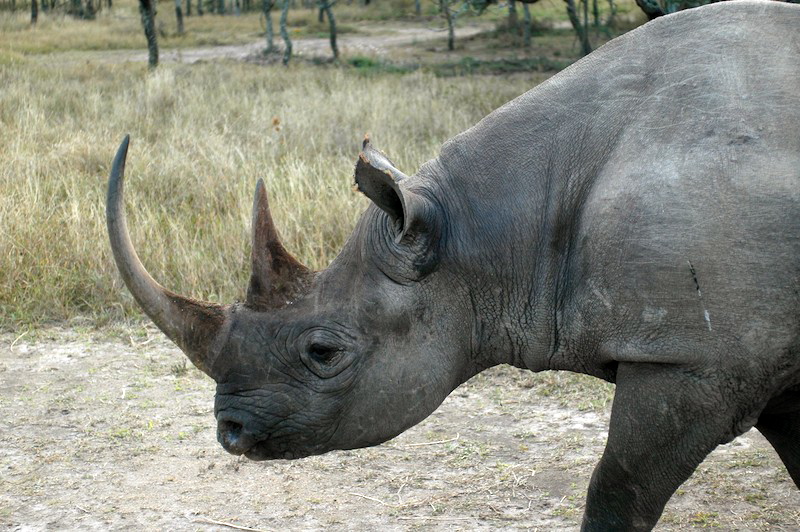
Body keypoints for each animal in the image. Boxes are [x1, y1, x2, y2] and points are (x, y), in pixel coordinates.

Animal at [107, 2, 800, 529]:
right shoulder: (764, 361)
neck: (483, 227)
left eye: (323, 353)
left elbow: (617, 490)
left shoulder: (692, 360)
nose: (231, 432)